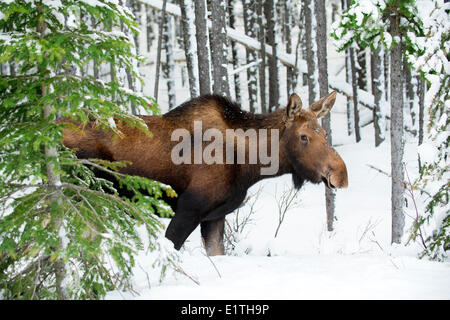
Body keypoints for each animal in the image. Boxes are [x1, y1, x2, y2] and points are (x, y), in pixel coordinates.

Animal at [62, 91, 348, 256]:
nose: (340, 174)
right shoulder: (188, 209)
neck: (250, 165)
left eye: (323, 132)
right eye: (303, 136)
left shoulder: (215, 216)